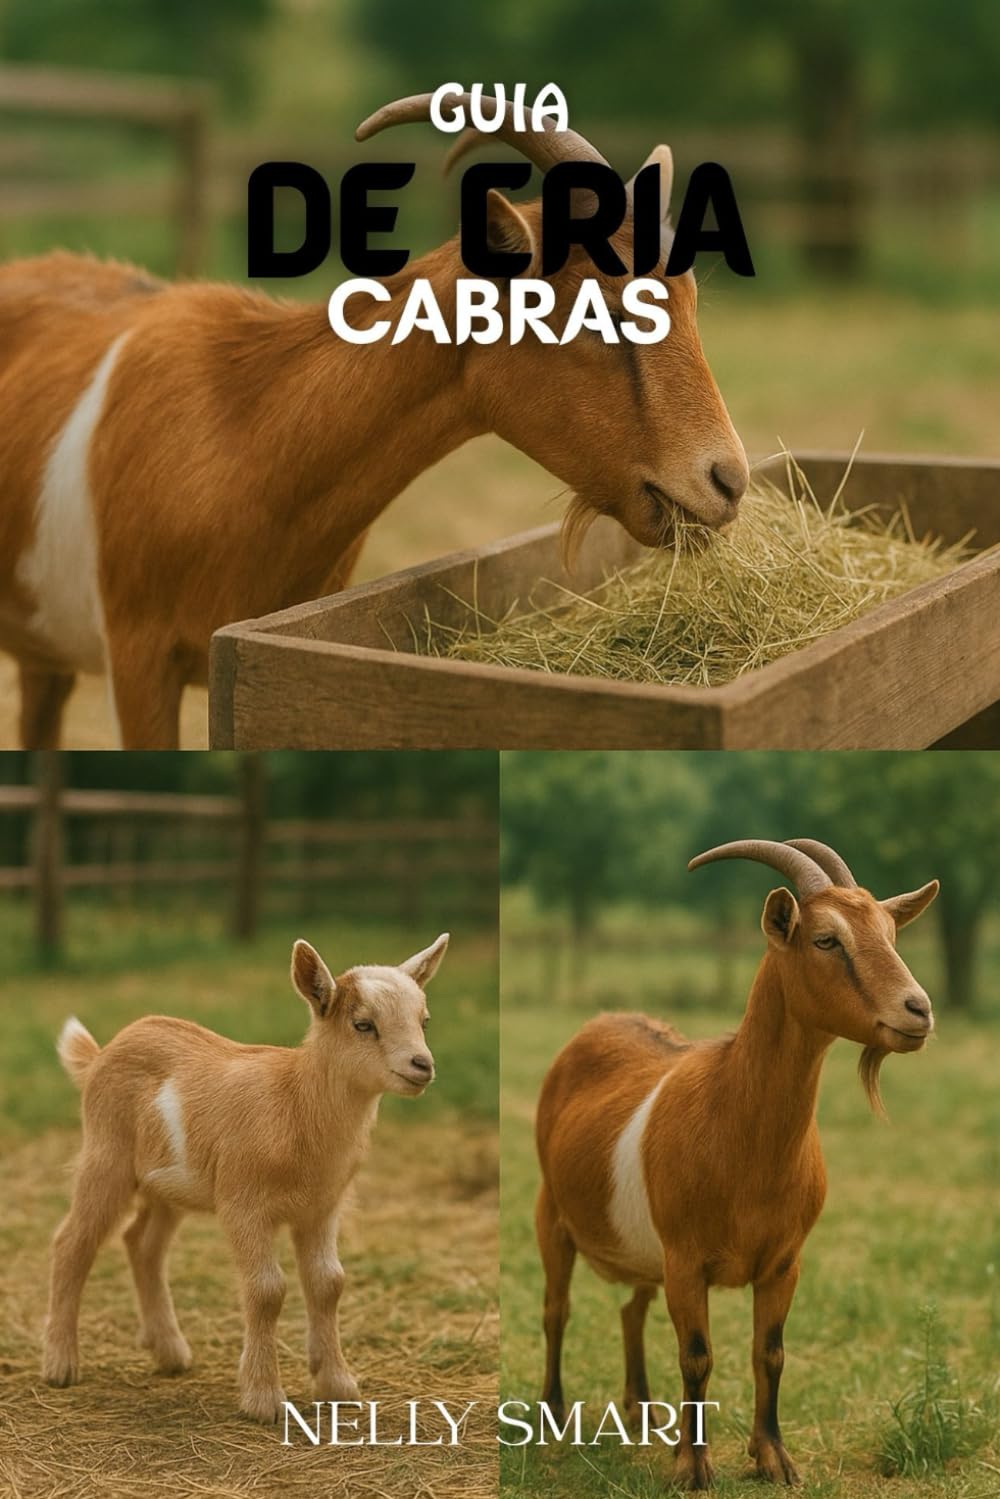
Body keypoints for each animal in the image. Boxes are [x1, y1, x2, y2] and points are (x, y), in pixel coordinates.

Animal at [42, 932, 448, 1422]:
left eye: (424, 1021)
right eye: (363, 1024)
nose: (422, 1064)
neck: (295, 1103)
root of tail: (100, 1055)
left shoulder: (322, 1207)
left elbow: (329, 1283)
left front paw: (337, 1384)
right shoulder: (243, 1203)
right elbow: (267, 1290)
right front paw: (263, 1399)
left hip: (170, 1186)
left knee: (143, 1244)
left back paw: (171, 1352)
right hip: (106, 1155)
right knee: (72, 1242)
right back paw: (61, 1364)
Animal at [535, 839, 938, 1489]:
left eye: (890, 934)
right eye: (826, 940)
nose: (918, 1010)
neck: (737, 1129)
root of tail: (600, 1021)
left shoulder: (783, 1262)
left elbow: (769, 1352)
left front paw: (772, 1457)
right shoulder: (685, 1259)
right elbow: (697, 1355)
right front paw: (692, 1467)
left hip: (643, 1251)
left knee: (630, 1309)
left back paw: (642, 1411)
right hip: (551, 1212)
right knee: (556, 1310)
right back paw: (553, 1413)